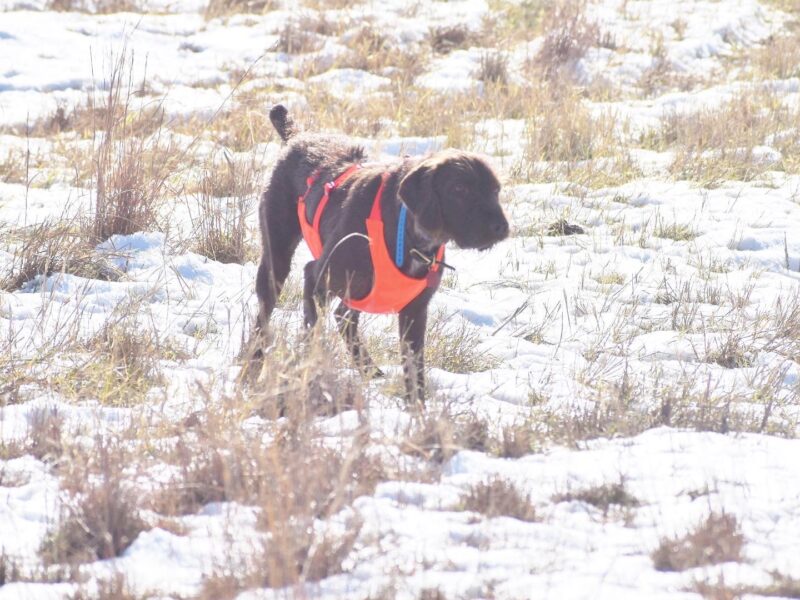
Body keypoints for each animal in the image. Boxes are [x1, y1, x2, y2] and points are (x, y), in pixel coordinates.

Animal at [253, 105, 510, 406]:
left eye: (495, 190)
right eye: (460, 189)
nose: (501, 227)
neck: (407, 233)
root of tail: (297, 137)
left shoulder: (414, 312)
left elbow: (415, 372)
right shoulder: (317, 276)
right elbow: (311, 328)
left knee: (344, 317)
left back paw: (369, 369)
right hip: (277, 261)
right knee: (264, 317)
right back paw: (252, 365)